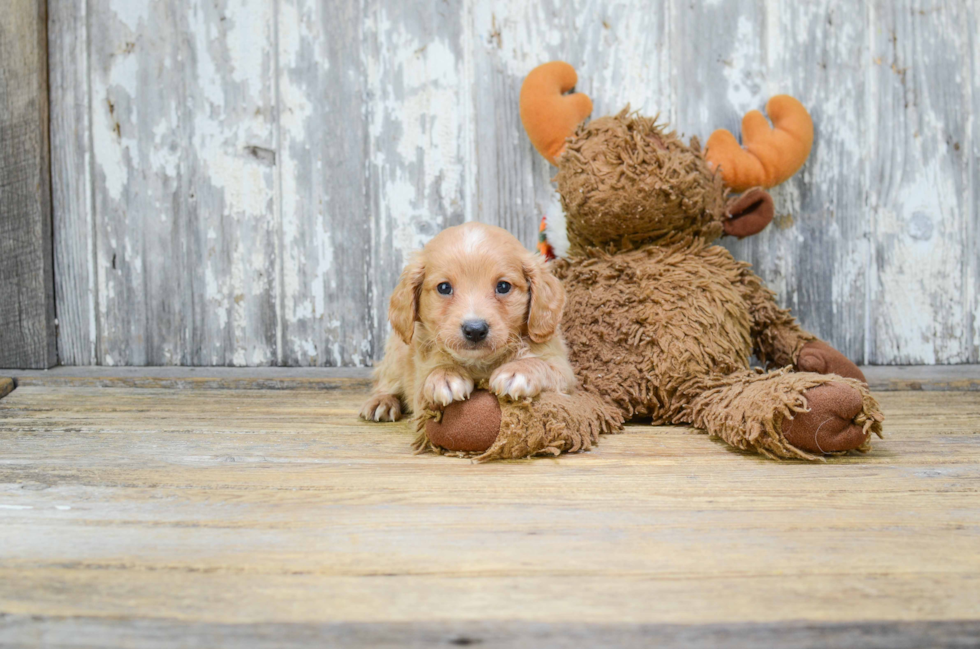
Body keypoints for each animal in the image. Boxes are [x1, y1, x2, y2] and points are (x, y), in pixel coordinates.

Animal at [360, 223, 576, 422]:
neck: (480, 364)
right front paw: (445, 376)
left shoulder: (564, 371)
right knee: (384, 380)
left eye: (503, 286)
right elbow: (435, 371)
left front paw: (518, 371)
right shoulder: (420, 389)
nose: (475, 330)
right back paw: (382, 401)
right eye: (444, 287)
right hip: (396, 353)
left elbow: (542, 364)